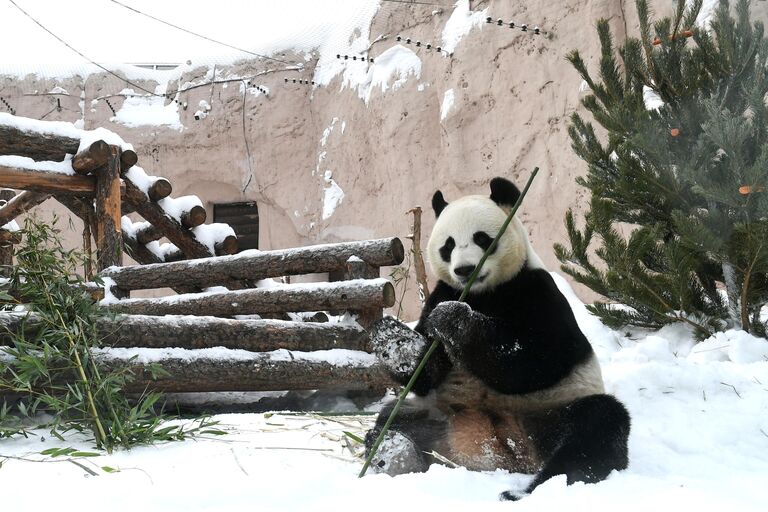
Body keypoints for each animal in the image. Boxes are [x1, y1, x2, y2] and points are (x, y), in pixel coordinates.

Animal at [366, 176, 632, 500]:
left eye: (482, 239)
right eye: (448, 246)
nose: (465, 269)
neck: (483, 293)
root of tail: (493, 451)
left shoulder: (536, 289)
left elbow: (536, 359)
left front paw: (455, 320)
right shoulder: (442, 292)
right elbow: (425, 374)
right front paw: (396, 342)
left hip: (548, 412)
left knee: (597, 426)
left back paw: (531, 490)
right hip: (437, 413)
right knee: (393, 419)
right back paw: (393, 452)